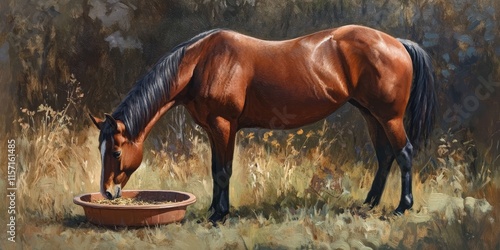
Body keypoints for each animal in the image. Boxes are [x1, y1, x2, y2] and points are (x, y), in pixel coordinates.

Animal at [92, 24, 436, 222]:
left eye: (117, 151)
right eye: (100, 149)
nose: (107, 193)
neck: (203, 62)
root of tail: (396, 42)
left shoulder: (225, 125)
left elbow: (223, 171)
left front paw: (220, 215)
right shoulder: (213, 129)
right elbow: (215, 170)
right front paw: (214, 210)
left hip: (389, 117)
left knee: (403, 153)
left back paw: (401, 207)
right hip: (370, 114)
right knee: (385, 156)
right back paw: (369, 203)